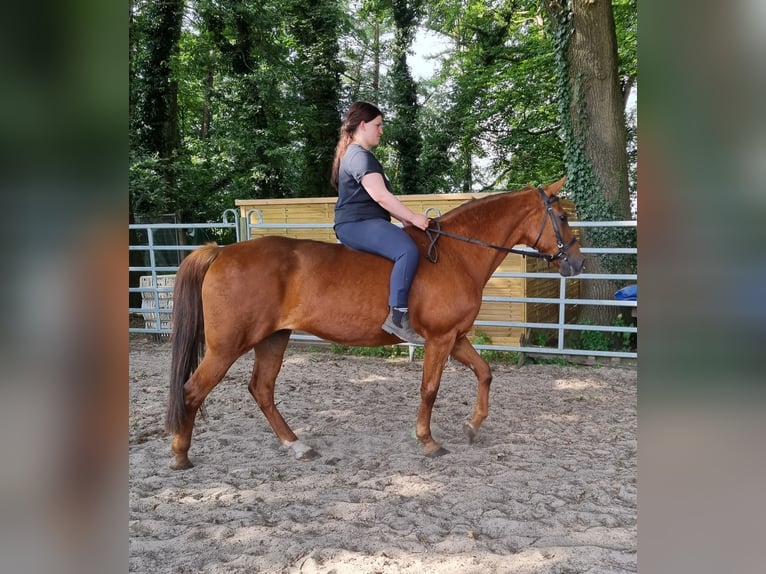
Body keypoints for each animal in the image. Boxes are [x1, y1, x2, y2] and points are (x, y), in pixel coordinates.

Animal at [168, 178, 584, 470]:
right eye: (562, 217)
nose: (576, 263)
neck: (455, 254)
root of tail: (221, 252)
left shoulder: (456, 337)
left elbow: (485, 373)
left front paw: (473, 425)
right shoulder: (440, 339)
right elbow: (429, 389)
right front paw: (428, 441)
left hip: (273, 338)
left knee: (262, 390)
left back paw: (296, 445)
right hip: (227, 346)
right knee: (192, 390)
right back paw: (180, 455)